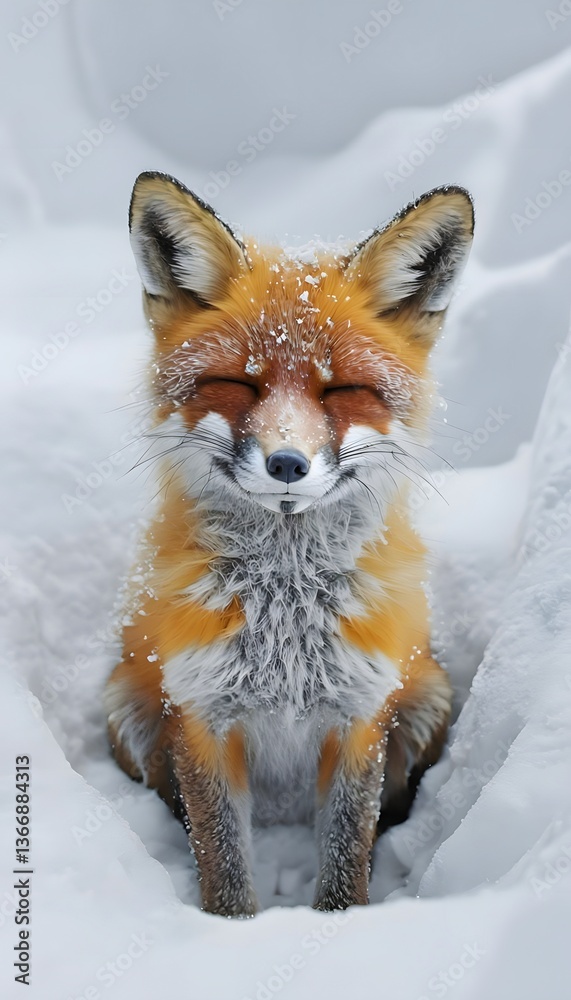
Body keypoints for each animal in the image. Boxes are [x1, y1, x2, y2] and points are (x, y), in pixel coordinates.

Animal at [104, 172, 474, 916]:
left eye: (343, 391)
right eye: (238, 383)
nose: (286, 464)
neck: (285, 625)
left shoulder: (360, 716)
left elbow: (345, 856)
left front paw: (341, 922)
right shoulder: (201, 717)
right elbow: (222, 863)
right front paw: (229, 928)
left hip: (426, 697)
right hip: (126, 709)